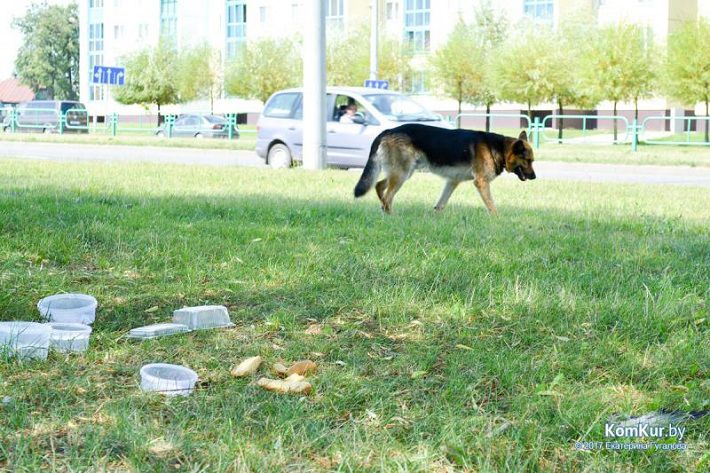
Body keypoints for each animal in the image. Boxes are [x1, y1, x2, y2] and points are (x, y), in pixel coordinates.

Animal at [354, 124, 536, 215]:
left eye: (532, 161)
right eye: (527, 161)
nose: (534, 177)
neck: (498, 148)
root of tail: (389, 130)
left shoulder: (452, 181)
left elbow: (440, 204)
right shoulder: (482, 182)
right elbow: (492, 206)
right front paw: (497, 220)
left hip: (403, 172)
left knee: (379, 186)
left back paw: (385, 213)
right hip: (402, 174)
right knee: (387, 196)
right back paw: (392, 216)